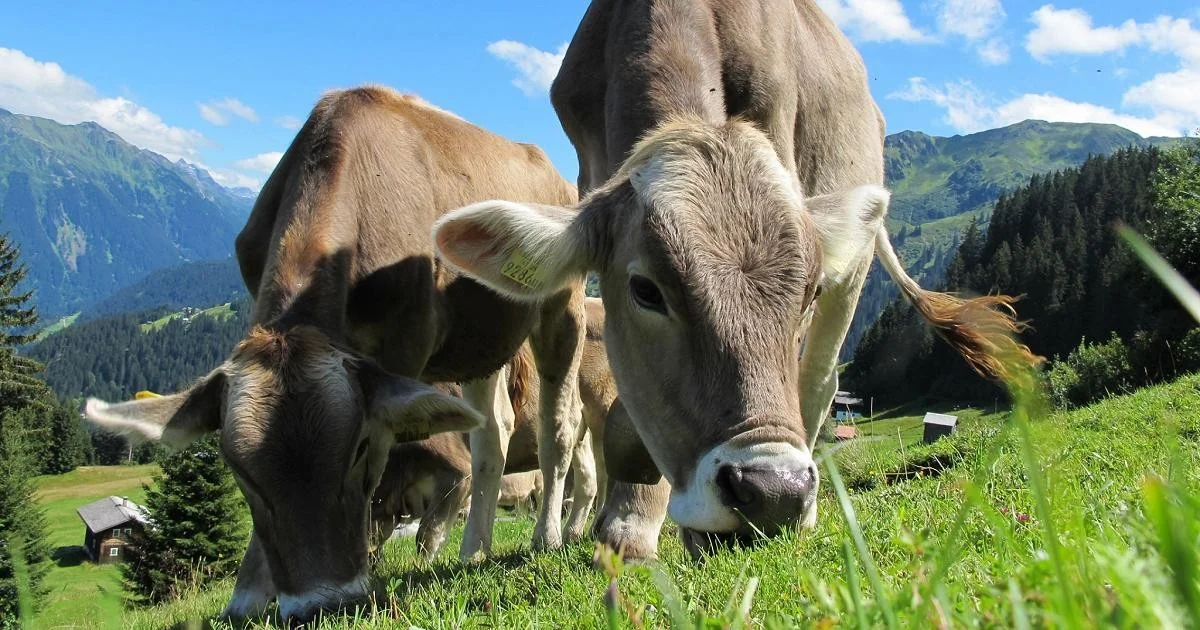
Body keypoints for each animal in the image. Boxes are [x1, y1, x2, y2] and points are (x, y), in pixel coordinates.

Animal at [81, 85, 586, 621]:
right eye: (238, 470)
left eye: (359, 448)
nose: (321, 604)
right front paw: (248, 595)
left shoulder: (403, 348)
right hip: (479, 341)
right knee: (493, 431)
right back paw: (475, 549)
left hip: (562, 306)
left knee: (559, 425)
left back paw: (547, 536)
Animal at [371, 299, 618, 559]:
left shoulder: (457, 470)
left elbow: (427, 533)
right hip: (581, 431)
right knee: (588, 477)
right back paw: (573, 532)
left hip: (602, 409)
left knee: (604, 470)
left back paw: (595, 527)